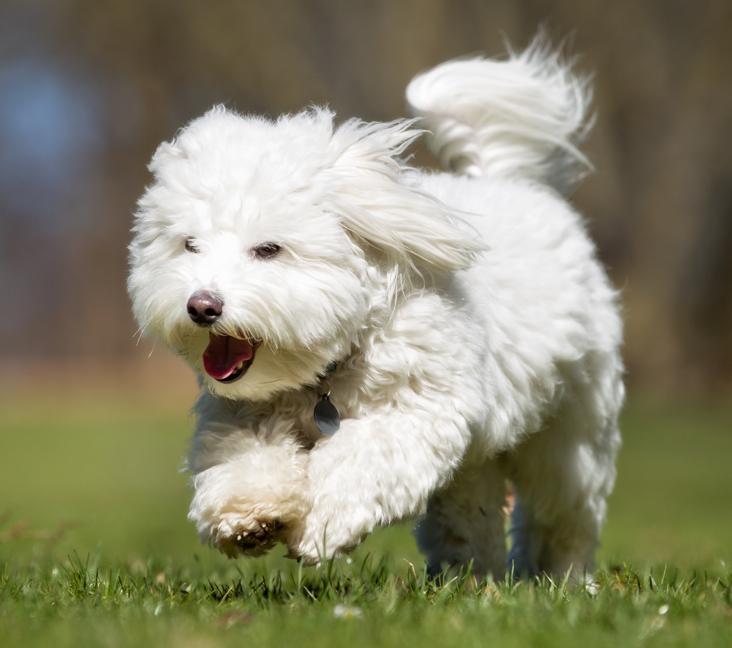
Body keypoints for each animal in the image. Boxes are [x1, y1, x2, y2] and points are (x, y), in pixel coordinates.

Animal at [127, 38, 624, 580]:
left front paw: (320, 524)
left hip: (571, 432)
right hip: (479, 459)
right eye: (189, 245)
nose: (202, 306)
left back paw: (563, 577)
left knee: (564, 511)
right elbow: (244, 458)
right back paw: (469, 574)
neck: (328, 370)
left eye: (268, 249)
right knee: (471, 509)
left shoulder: (418, 410)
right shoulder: (240, 414)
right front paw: (248, 513)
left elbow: (359, 461)